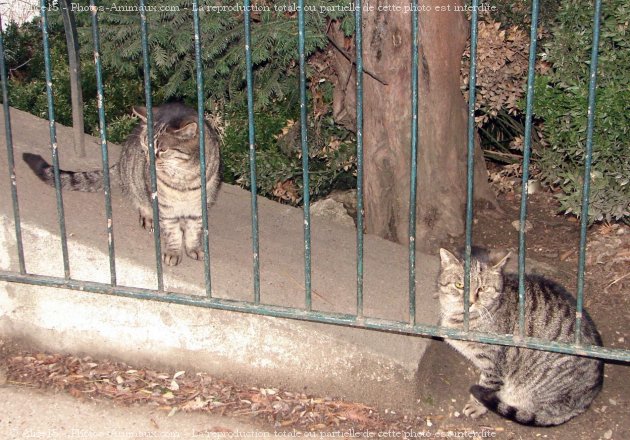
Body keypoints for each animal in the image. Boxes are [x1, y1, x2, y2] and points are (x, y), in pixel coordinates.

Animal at [24, 102, 222, 266]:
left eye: (162, 150)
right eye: (145, 144)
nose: (148, 161)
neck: (183, 178)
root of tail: (119, 163)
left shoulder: (199, 206)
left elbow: (193, 231)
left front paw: (193, 248)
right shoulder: (166, 208)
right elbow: (172, 232)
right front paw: (173, 252)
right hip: (135, 181)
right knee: (140, 201)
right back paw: (148, 216)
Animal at [436, 248, 604, 426]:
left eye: (482, 288)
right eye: (459, 285)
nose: (469, 302)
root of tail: (589, 398)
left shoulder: (493, 363)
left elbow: (487, 384)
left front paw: (476, 405)